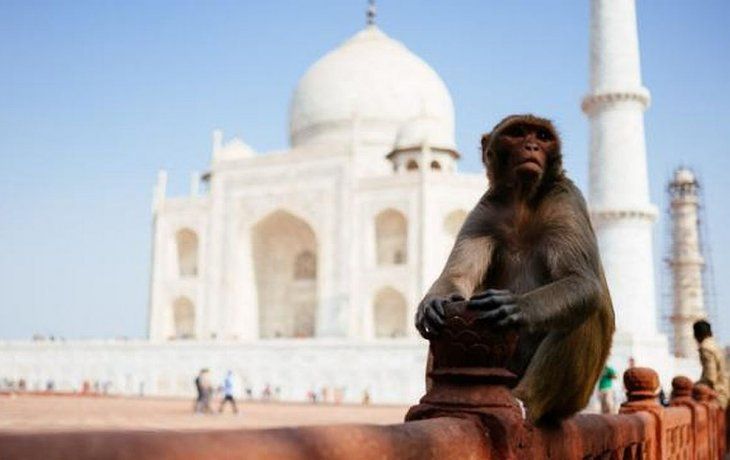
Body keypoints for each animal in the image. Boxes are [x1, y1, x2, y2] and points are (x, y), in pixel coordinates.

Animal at [415, 114, 615, 423]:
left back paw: (524, 402)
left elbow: (582, 282)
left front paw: (517, 306)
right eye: (518, 133)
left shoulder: (566, 198)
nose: (532, 146)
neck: (522, 199)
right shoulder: (484, 212)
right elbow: (456, 277)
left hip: (574, 398)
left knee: (583, 313)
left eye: (542, 136)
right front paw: (433, 302)